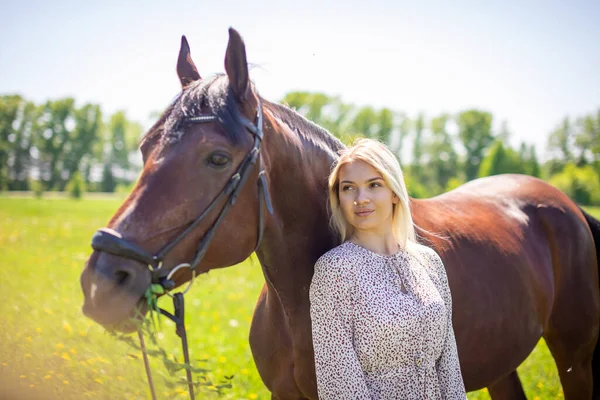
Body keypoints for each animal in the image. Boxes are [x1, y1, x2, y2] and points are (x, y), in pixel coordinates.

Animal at [81, 28, 600, 400]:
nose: (102, 281)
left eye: (217, 158)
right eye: (145, 147)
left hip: (575, 359)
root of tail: (566, 206)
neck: (298, 304)